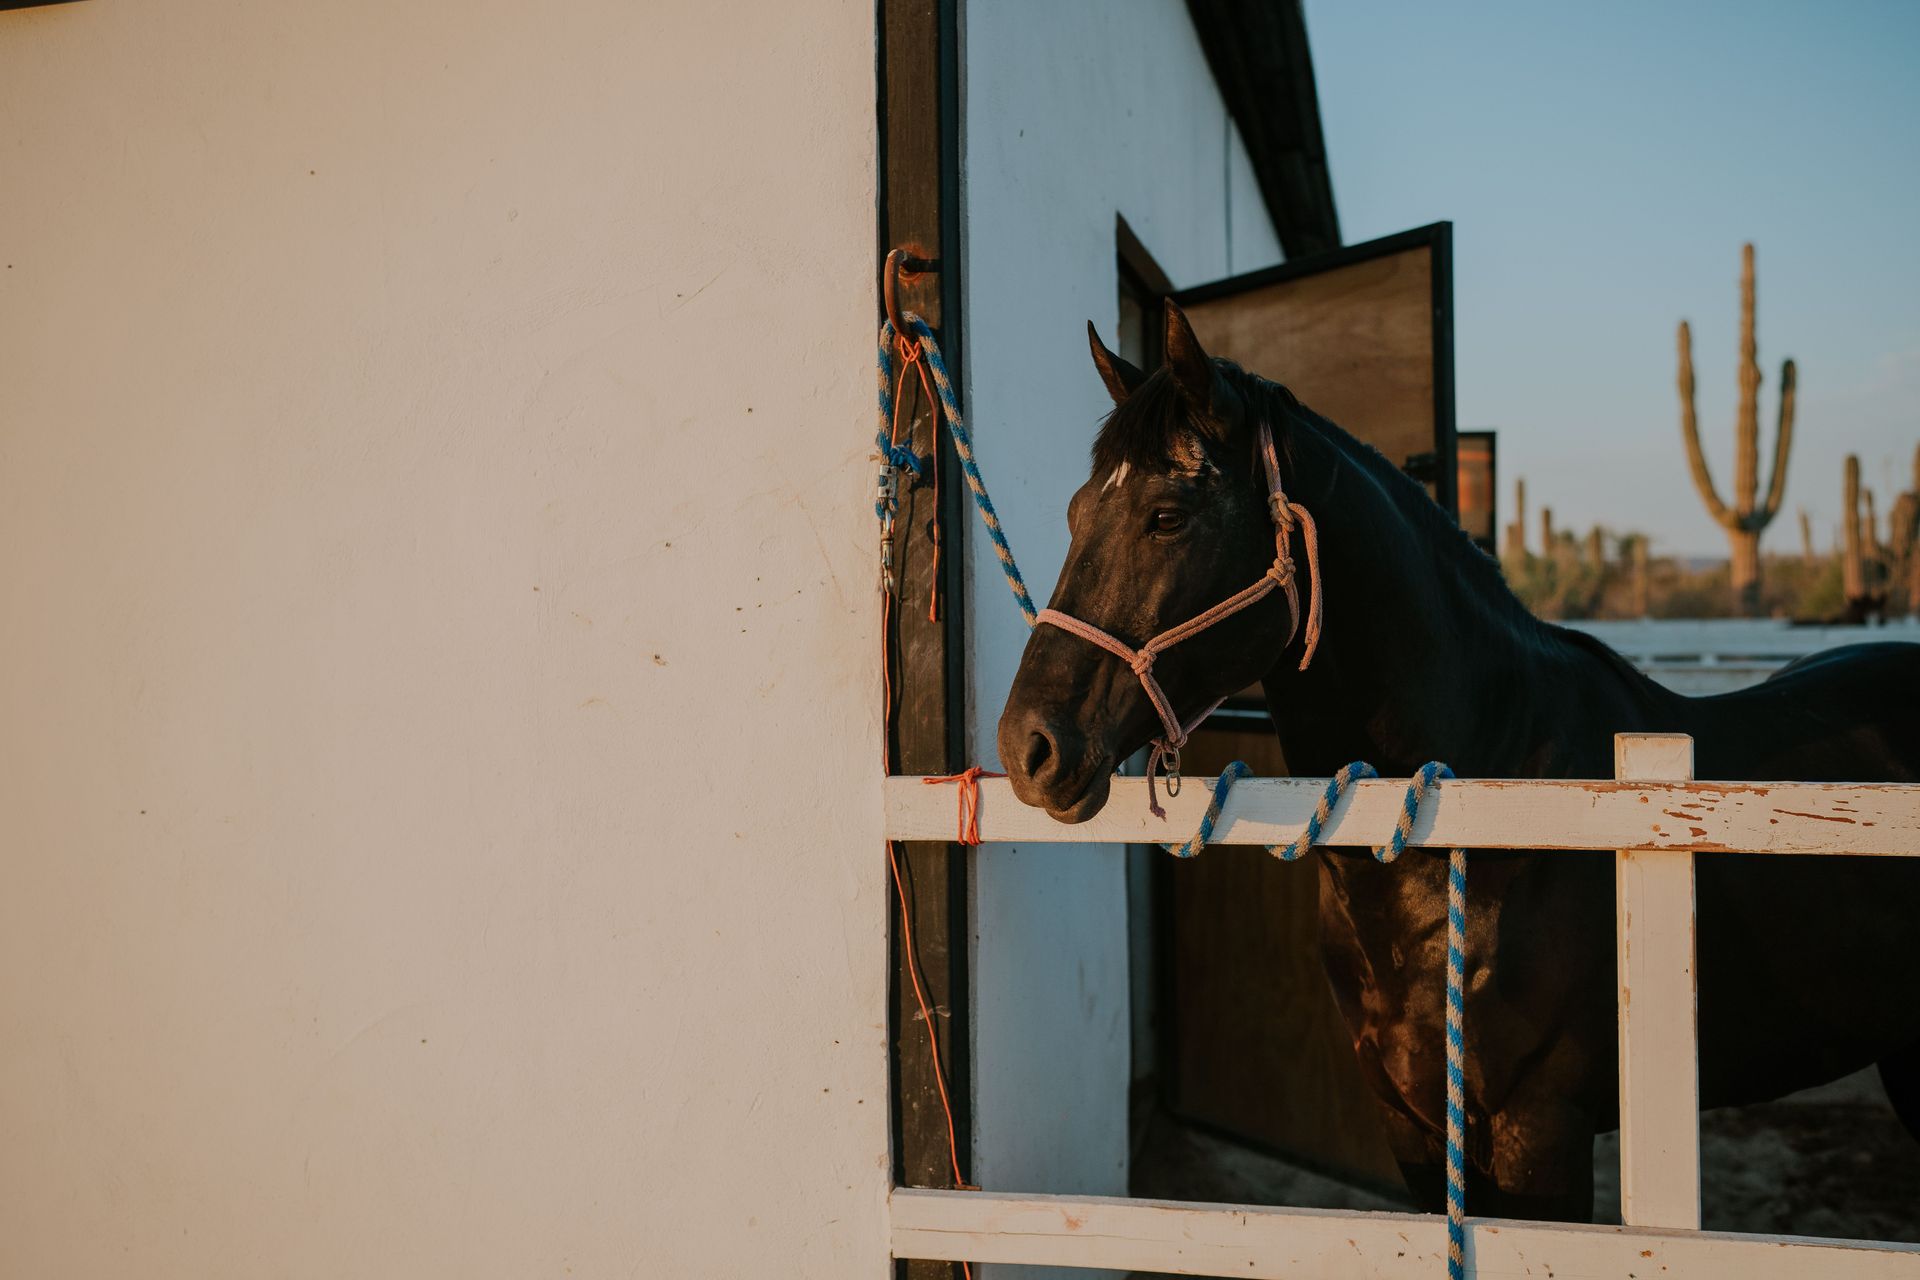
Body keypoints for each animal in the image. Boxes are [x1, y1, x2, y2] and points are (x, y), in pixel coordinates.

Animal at [996, 298, 1920, 1223]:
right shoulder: (1410, 1123)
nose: (1027, 745)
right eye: (1076, 512)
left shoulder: (1540, 1126)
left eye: (1166, 516)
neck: (1495, 811)